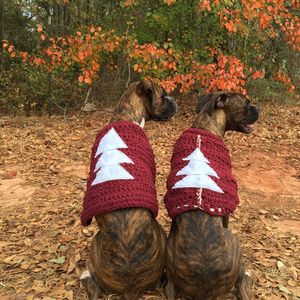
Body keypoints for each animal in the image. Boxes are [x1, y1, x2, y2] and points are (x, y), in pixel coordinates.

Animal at [163, 92, 258, 300]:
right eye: (246, 103)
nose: (258, 108)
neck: (206, 124)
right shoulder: (227, 205)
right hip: (236, 245)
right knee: (241, 284)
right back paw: (246, 277)